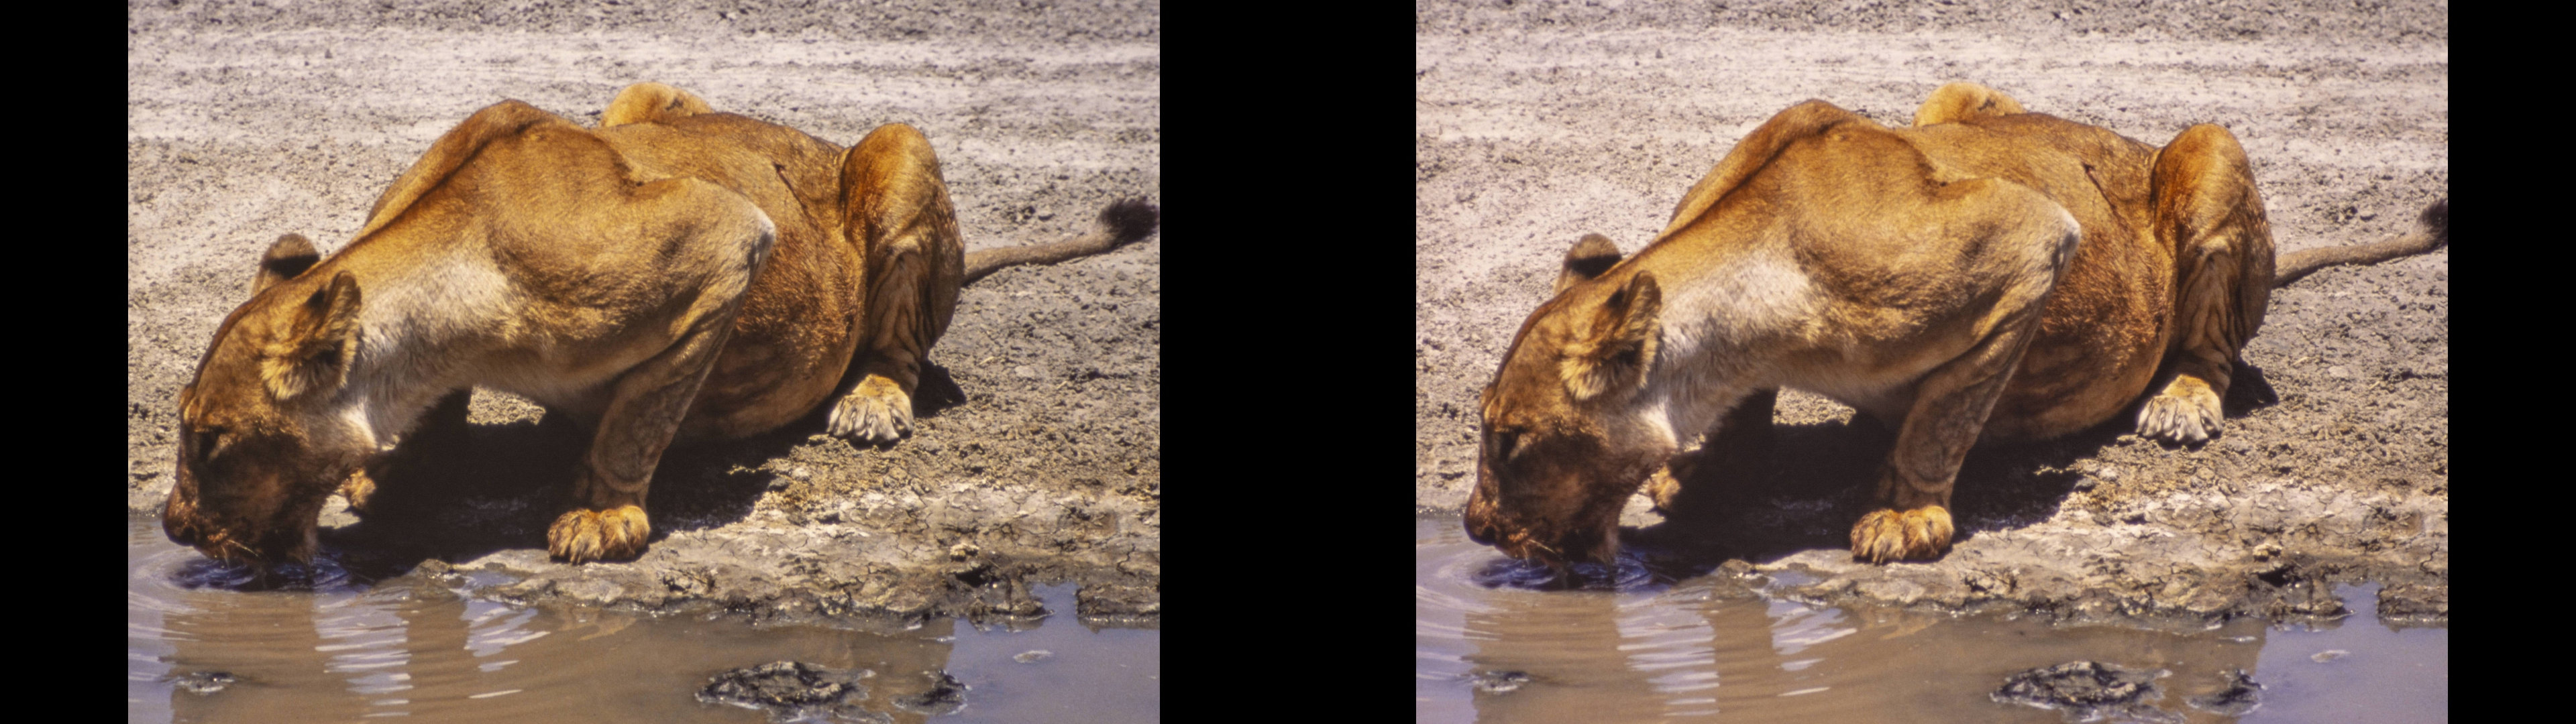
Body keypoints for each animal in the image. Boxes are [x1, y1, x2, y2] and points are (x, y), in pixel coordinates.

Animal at [164, 83, 1160, 565]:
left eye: (211, 443)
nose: (170, 530)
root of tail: (821, 140)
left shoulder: (728, 240)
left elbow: (638, 418)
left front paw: (602, 514)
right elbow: (436, 417)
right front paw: (397, 477)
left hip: (899, 150)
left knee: (901, 346)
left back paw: (873, 402)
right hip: (642, 95)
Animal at [1465, 82, 2447, 568]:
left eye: (1511, 441)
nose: (1472, 528)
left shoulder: (2033, 241)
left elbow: (1943, 418)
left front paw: (1906, 516)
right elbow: (1744, 413)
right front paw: (1705, 480)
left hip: (2210, 150)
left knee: (2212, 349)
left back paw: (2181, 404)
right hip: (1953, 95)